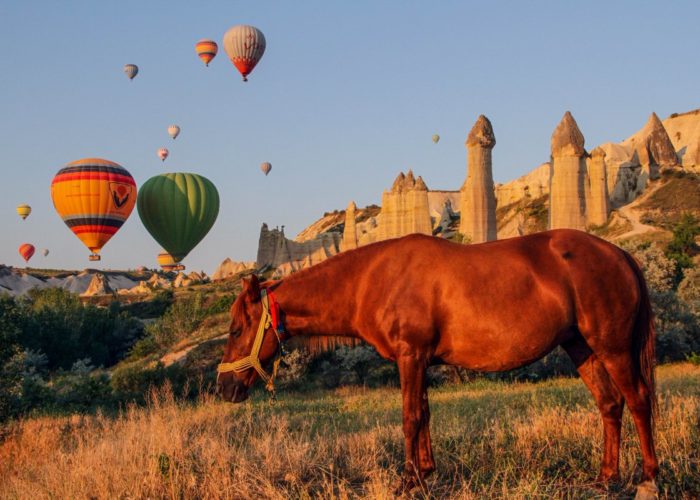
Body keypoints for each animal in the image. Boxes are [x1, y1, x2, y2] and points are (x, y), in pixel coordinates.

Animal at [216, 230, 660, 496]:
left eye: (236, 329)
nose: (224, 389)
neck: (372, 280)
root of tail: (620, 254)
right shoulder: (420, 360)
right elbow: (425, 414)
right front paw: (425, 473)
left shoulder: (410, 356)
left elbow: (410, 417)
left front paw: (407, 481)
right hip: (581, 348)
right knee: (610, 405)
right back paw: (606, 479)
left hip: (613, 348)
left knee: (638, 401)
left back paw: (648, 478)